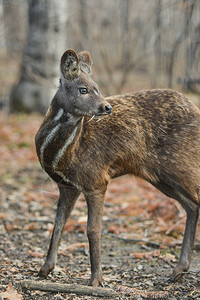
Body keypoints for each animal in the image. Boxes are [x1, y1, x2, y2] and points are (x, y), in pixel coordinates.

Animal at [35, 48, 200, 288]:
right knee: (192, 206)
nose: (106, 107)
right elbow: (58, 224)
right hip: (160, 176)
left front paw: (96, 279)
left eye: (97, 87)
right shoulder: (67, 186)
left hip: (182, 163)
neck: (62, 154)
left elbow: (93, 229)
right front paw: (45, 270)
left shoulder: (96, 180)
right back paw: (178, 270)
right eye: (83, 89)